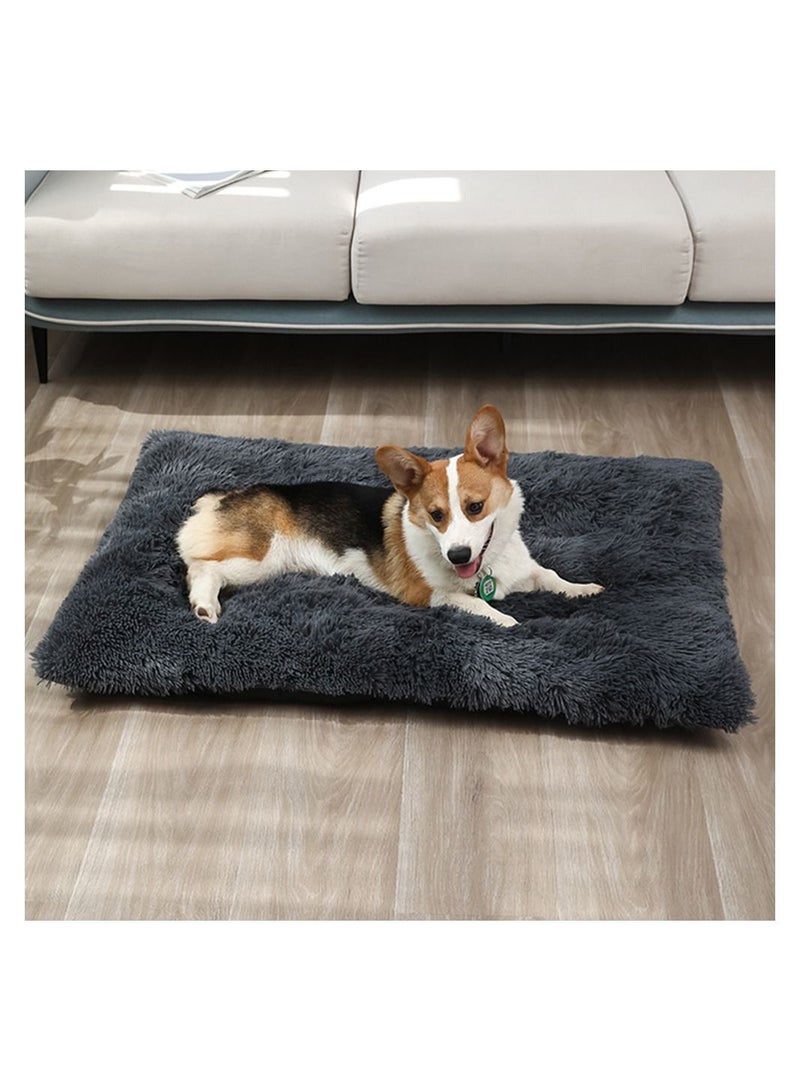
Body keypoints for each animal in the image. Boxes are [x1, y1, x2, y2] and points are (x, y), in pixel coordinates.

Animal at [176, 405, 603, 628]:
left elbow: (551, 576)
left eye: (475, 507)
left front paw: (583, 589)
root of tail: (220, 496)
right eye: (435, 515)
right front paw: (509, 622)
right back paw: (205, 604)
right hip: (259, 558)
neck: (486, 565)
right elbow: (478, 605)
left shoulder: (525, 570)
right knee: (202, 568)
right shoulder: (429, 595)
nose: (458, 556)